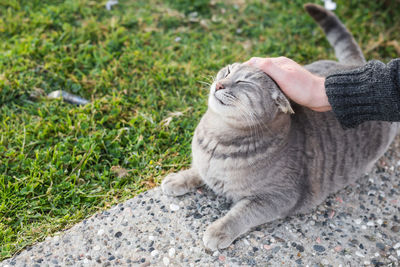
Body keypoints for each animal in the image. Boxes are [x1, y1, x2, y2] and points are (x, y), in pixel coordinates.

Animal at [161, 3, 398, 252]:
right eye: (226, 71)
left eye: (243, 82)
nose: (219, 84)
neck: (217, 138)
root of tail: (356, 65)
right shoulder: (206, 164)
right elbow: (198, 171)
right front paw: (178, 179)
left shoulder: (278, 197)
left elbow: (241, 213)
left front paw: (218, 230)